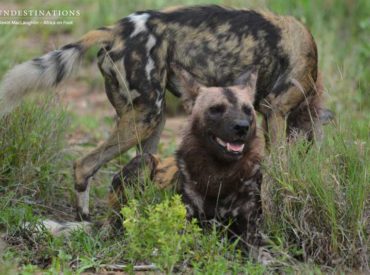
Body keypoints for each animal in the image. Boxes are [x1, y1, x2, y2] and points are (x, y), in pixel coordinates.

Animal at [0, 5, 330, 220]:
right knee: (84, 164)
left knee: (134, 173)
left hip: (150, 124)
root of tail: (116, 29)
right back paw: (85, 219)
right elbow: (278, 171)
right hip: (144, 118)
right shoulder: (276, 111)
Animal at [110, 68, 264, 249]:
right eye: (216, 109)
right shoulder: (187, 222)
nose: (242, 127)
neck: (221, 174)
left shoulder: (250, 228)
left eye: (247, 110)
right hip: (144, 162)